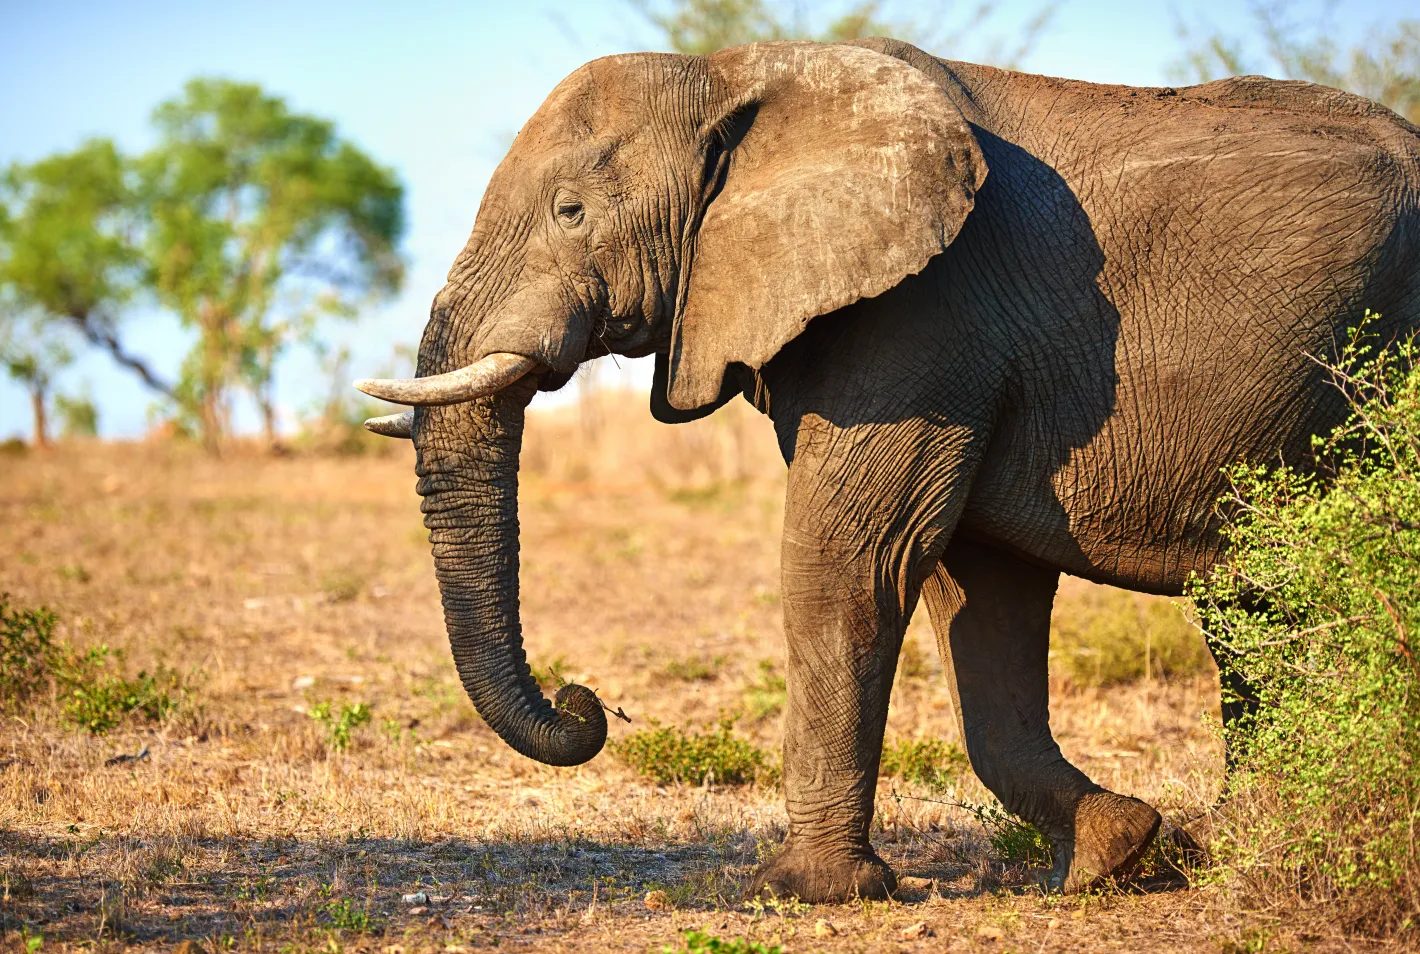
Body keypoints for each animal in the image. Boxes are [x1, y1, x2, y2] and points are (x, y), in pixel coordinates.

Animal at [355, 38, 1420, 903]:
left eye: (572, 212)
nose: (587, 704)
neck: (737, 75)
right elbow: (978, 595)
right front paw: (1118, 850)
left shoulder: (926, 313)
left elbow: (852, 558)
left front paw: (805, 890)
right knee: (1254, 607)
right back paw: (1240, 844)